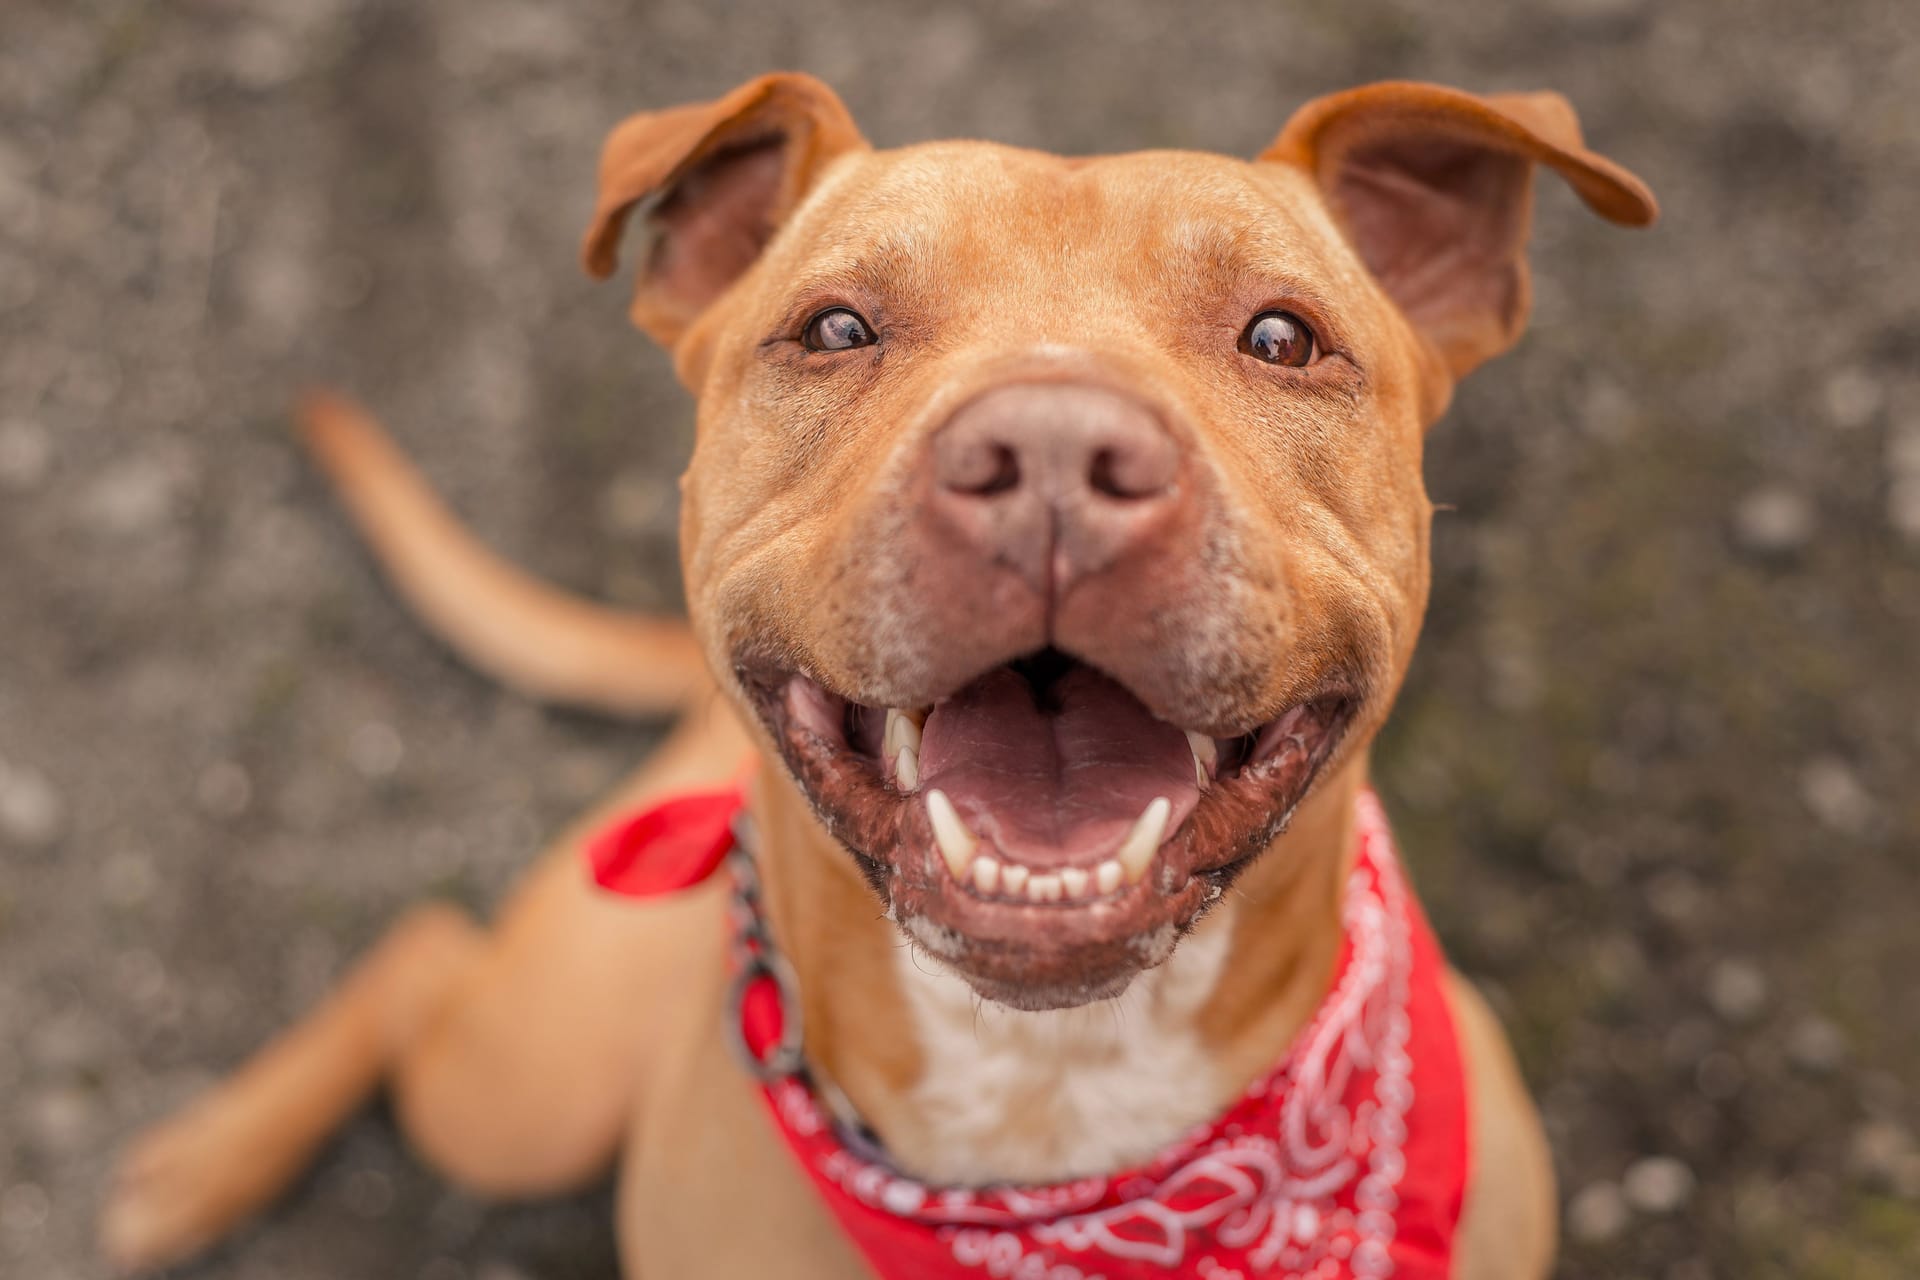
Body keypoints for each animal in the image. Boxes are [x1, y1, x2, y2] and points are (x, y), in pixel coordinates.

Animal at [97, 72, 1651, 1280]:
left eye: (1282, 336)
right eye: (835, 327)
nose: (1052, 457)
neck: (1050, 1099)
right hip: (527, 1087)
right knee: (423, 956)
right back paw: (200, 1165)